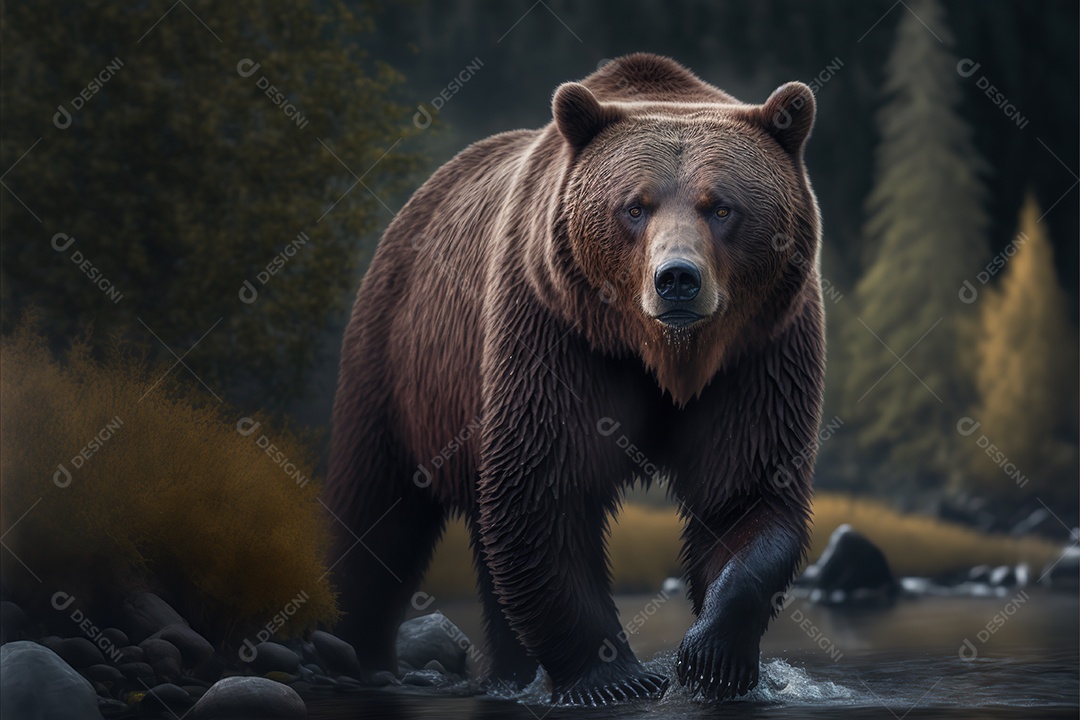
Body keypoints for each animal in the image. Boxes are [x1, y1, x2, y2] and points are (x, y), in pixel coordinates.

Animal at [324, 52, 825, 705]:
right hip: (398, 362)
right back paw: (358, 652)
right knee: (377, 511)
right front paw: (615, 678)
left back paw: (503, 671)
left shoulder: (759, 350)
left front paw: (712, 659)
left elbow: (747, 491)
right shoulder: (555, 330)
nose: (677, 279)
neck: (661, 353)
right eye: (634, 206)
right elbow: (543, 489)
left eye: (721, 207)